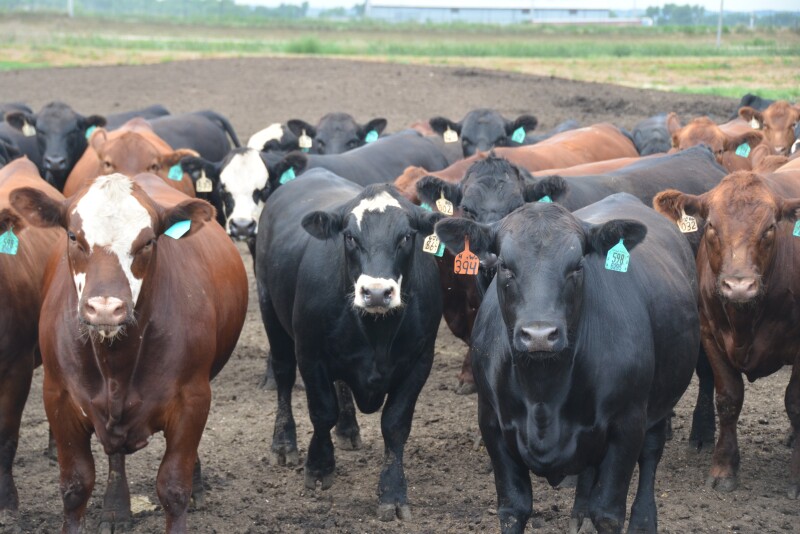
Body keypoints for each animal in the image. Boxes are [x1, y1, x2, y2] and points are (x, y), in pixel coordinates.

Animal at [9, 171, 248, 533]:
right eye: (73, 236)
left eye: (148, 241)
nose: (105, 308)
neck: (116, 361)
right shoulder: (58, 396)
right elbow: (75, 486)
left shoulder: (193, 398)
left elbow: (174, 487)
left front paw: (188, 488)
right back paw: (115, 509)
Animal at [257, 171, 443, 521]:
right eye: (350, 237)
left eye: (406, 236)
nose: (377, 292)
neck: (377, 332)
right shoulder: (310, 353)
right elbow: (321, 411)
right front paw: (318, 468)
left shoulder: (420, 361)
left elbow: (395, 425)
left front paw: (393, 492)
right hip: (269, 310)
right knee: (284, 377)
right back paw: (283, 442)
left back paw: (347, 429)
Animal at [434, 193, 699, 533]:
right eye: (505, 265)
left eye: (577, 266)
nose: (539, 335)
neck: (544, 393)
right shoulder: (492, 424)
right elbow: (513, 508)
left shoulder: (627, 425)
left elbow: (608, 513)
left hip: (659, 402)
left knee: (651, 455)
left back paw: (643, 520)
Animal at [653, 169, 800, 499]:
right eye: (711, 225)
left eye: (770, 228)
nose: (739, 286)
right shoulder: (710, 334)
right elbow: (729, 399)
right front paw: (723, 468)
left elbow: (795, 402)